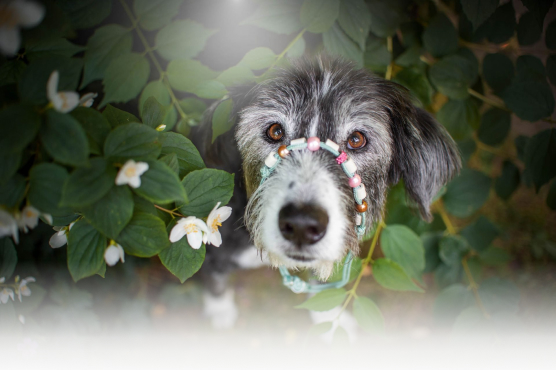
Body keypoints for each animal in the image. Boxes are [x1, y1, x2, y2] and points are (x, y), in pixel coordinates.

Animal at [191, 56, 460, 328]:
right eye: (275, 131)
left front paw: (328, 317)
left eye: (356, 139)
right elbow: (215, 279)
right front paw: (221, 313)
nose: (301, 225)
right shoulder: (213, 247)